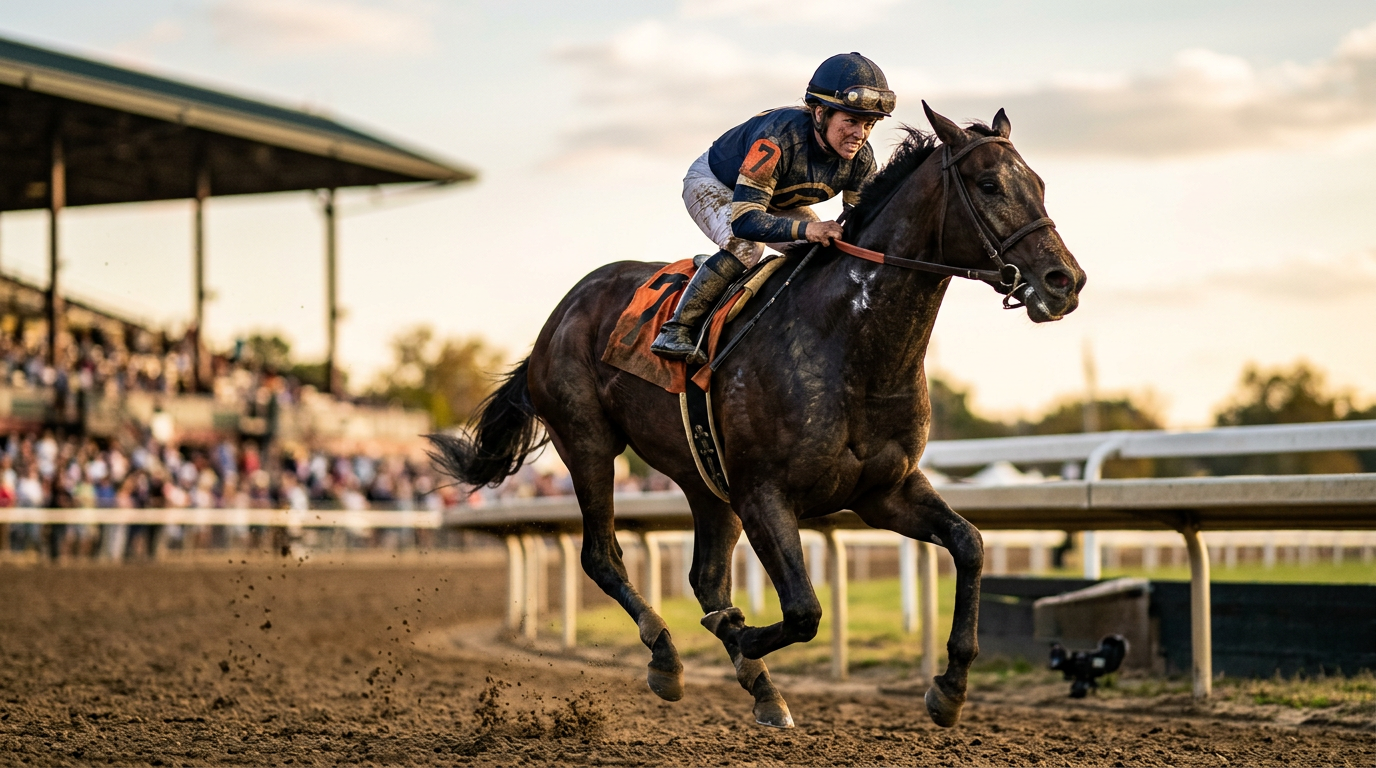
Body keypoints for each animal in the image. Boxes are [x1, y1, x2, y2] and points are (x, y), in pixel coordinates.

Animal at [429, 103, 1086, 729]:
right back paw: (667, 655)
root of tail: (563, 311)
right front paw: (741, 634)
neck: (849, 346)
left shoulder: (883, 492)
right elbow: (803, 610)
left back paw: (760, 688)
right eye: (988, 184)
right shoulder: (763, 493)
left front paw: (949, 687)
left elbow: (969, 544)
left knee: (706, 578)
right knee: (603, 555)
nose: (1066, 280)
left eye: (1039, 184)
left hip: (704, 478)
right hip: (589, 441)